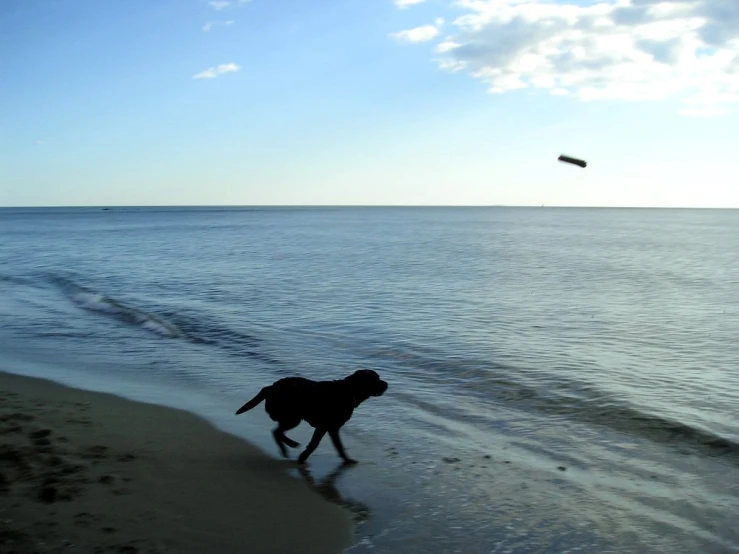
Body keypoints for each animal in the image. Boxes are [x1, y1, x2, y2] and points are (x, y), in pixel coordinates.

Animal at [237, 368, 390, 464]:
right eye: (376, 379)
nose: (387, 384)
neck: (349, 391)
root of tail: (270, 387)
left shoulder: (330, 428)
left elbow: (336, 445)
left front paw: (346, 460)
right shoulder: (326, 426)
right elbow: (317, 444)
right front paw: (303, 457)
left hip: (290, 417)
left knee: (276, 432)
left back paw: (286, 448)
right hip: (293, 418)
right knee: (277, 432)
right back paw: (291, 445)